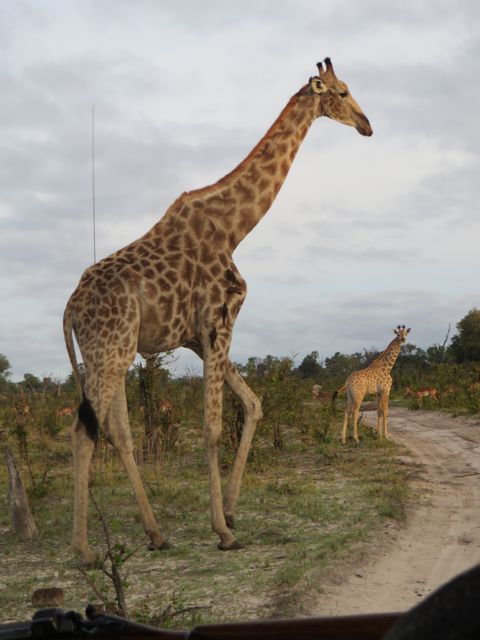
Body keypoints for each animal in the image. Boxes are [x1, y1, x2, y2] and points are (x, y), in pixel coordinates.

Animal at [64, 58, 372, 563]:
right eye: (343, 92)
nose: (367, 125)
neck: (234, 228)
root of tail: (70, 306)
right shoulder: (220, 321)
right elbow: (211, 428)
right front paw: (222, 531)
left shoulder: (201, 337)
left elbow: (254, 404)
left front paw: (229, 511)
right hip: (109, 352)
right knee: (83, 431)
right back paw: (85, 550)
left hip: (113, 353)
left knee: (117, 432)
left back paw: (156, 533)